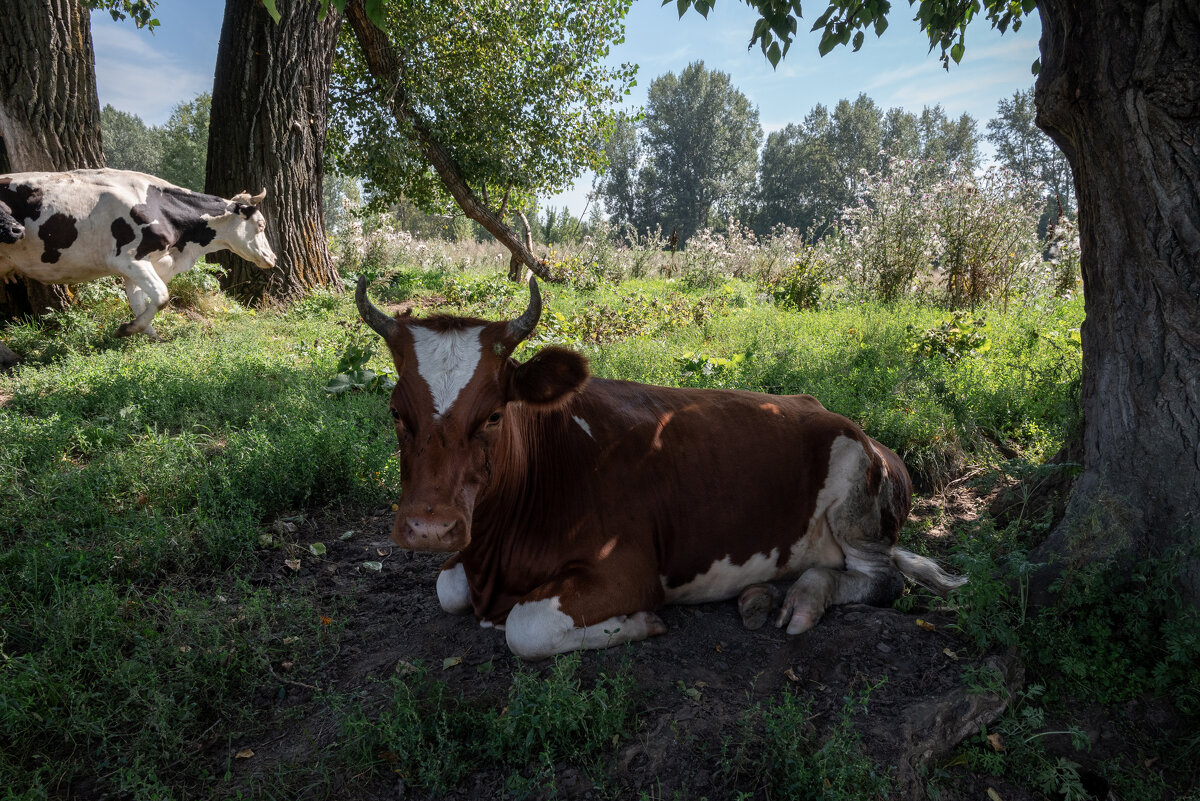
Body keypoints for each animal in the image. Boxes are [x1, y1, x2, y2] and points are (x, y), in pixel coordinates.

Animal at [1, 167, 276, 335]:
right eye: (261, 225)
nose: (273, 258)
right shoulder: (130, 259)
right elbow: (162, 296)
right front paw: (129, 329)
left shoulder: (138, 267)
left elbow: (139, 301)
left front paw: (149, 335)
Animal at [355, 278, 964, 661]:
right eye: (395, 412)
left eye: (494, 414)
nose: (430, 527)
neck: (497, 558)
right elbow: (447, 586)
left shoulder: (627, 570)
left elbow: (525, 628)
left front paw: (638, 624)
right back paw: (765, 595)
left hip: (854, 494)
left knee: (883, 578)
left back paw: (804, 600)